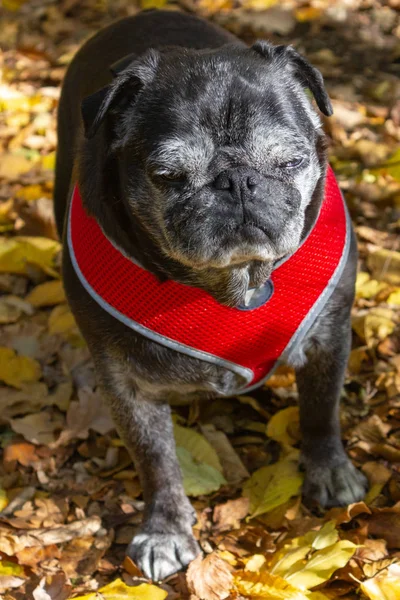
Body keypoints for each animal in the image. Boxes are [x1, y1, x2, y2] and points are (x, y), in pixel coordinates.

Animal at [54, 10, 368, 580]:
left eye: (290, 162)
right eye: (168, 175)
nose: (237, 181)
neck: (235, 283)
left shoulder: (330, 340)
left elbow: (321, 412)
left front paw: (330, 472)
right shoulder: (126, 384)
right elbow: (156, 463)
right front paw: (166, 530)